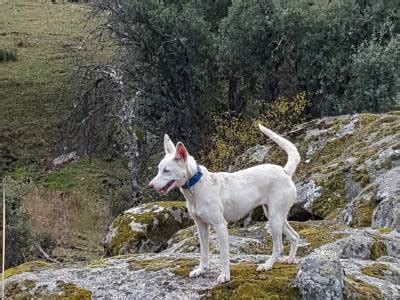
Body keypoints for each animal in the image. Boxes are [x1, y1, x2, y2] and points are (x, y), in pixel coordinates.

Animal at [149, 124, 300, 284]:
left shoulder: (220, 226)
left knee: (278, 246)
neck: (196, 186)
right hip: (276, 216)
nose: (150, 185)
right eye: (159, 169)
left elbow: (224, 255)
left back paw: (267, 265)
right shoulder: (201, 226)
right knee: (295, 236)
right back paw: (290, 259)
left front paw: (225, 275)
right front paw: (201, 270)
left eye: (167, 171)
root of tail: (284, 171)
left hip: (274, 219)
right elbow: (204, 252)